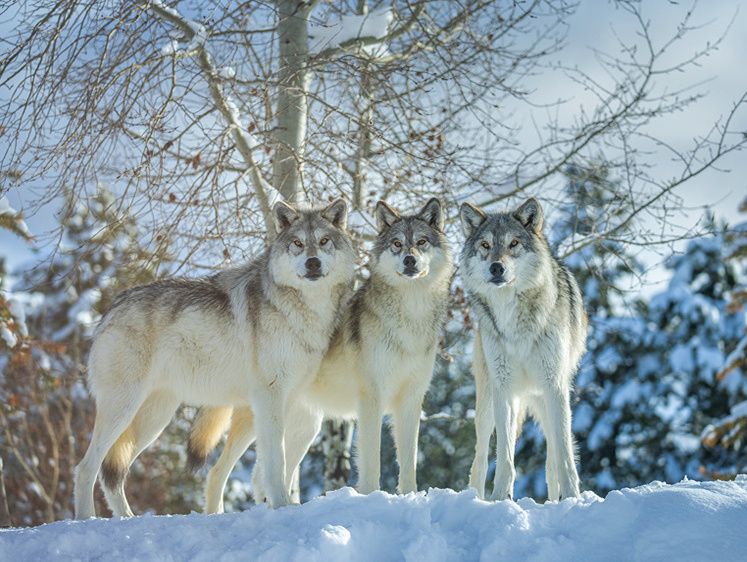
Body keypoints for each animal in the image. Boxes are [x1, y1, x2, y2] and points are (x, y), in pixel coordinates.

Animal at [74, 198, 356, 516]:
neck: (304, 311)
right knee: (86, 468)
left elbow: (273, 468)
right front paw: (283, 507)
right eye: (297, 243)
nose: (312, 263)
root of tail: (114, 305)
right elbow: (275, 464)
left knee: (113, 475)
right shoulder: (269, 397)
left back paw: (127, 519)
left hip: (154, 419)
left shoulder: (286, 400)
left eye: (323, 241)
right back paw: (85, 520)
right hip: (123, 409)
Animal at [187, 198, 456, 512]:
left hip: (302, 429)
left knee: (263, 475)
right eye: (397, 244)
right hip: (260, 420)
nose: (409, 261)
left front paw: (410, 499)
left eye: (421, 242)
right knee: (219, 472)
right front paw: (372, 498)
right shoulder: (371, 400)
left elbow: (410, 463)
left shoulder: (412, 401)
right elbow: (372, 462)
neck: (411, 319)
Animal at [458, 197, 588, 498]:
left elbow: (564, 457)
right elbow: (504, 458)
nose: (496, 267)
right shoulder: (504, 389)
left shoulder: (554, 385)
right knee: (480, 460)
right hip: (487, 403)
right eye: (485, 245)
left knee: (553, 459)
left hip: (548, 400)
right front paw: (499, 499)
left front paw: (573, 500)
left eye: (514, 243)